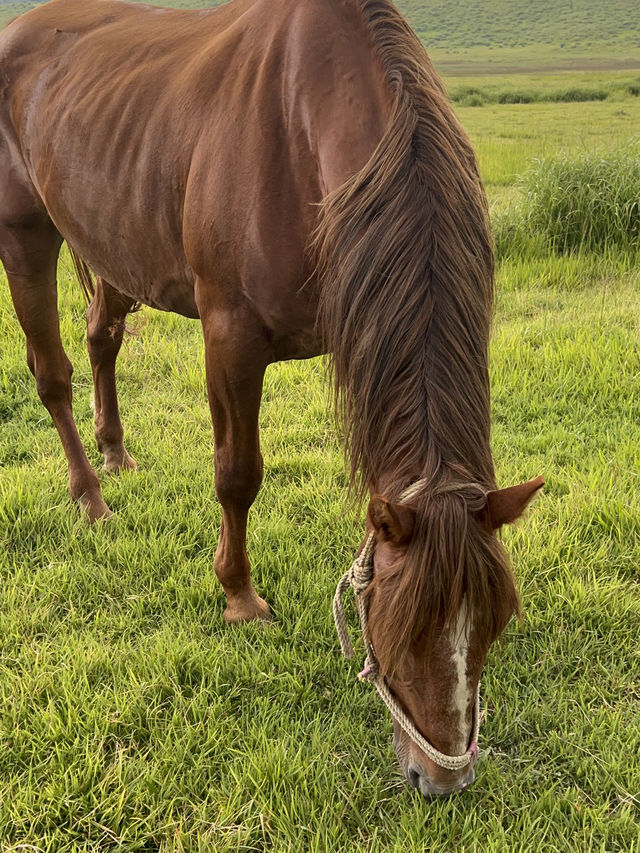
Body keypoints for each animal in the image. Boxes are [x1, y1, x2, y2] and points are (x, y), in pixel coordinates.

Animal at [0, 0, 544, 796]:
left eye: (495, 619)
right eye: (398, 621)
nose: (442, 779)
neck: (301, 131)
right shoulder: (230, 337)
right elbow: (238, 475)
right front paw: (239, 597)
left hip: (110, 241)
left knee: (103, 335)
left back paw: (117, 453)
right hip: (25, 236)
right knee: (53, 373)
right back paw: (91, 495)